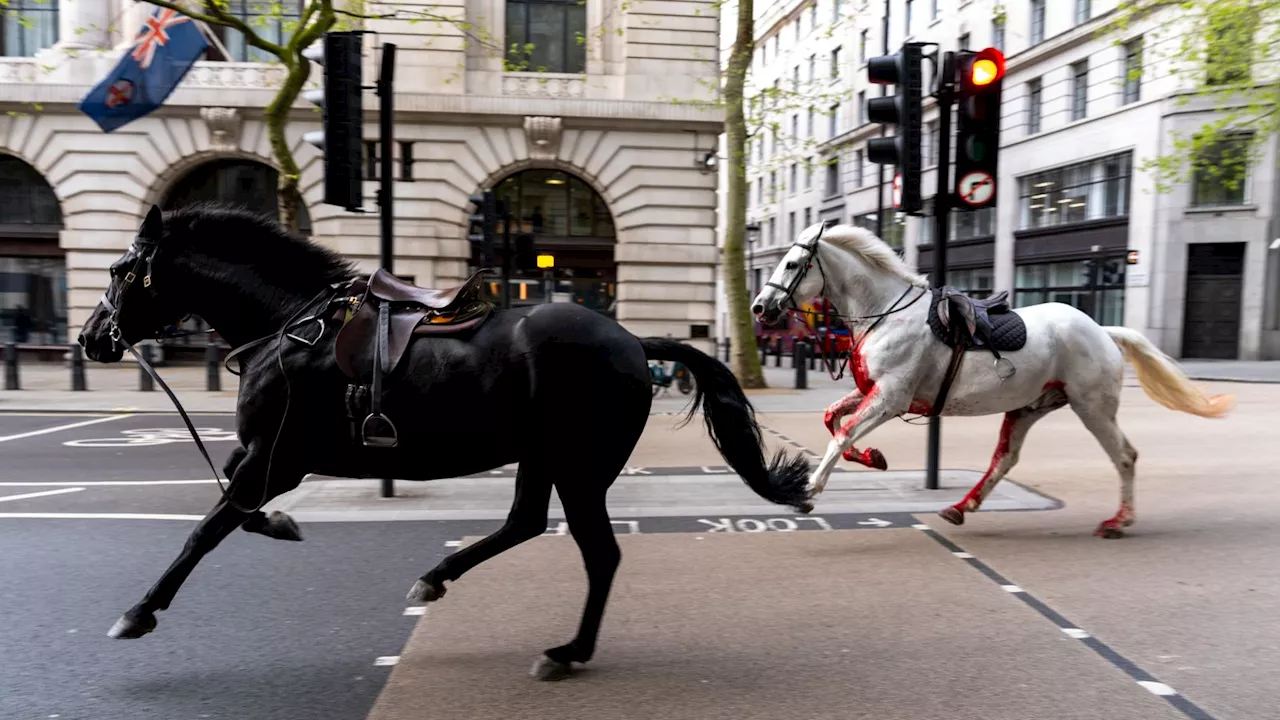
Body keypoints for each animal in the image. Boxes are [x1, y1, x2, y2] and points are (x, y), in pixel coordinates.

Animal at [77, 203, 808, 676]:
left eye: (119, 271)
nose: (87, 339)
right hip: (543, 457)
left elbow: (207, 528)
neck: (289, 327)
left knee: (598, 554)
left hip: (577, 465)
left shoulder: (278, 457)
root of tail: (632, 340)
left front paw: (139, 612)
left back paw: (567, 652)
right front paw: (283, 525)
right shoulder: (264, 456)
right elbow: (236, 503)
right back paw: (439, 578)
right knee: (524, 523)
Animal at [752, 221, 1233, 535]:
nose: (759, 308)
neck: (885, 313)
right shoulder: (874, 392)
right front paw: (873, 457)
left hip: (1092, 407)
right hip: (1028, 407)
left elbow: (842, 433)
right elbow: (833, 418)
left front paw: (809, 490)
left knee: (1125, 456)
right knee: (1005, 459)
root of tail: (1102, 330)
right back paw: (962, 507)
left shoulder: (890, 397)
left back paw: (1119, 520)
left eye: (792, 264)